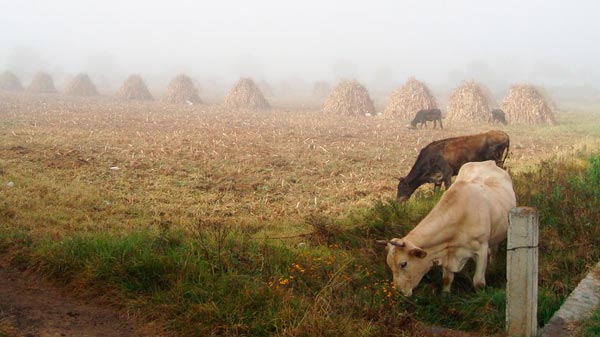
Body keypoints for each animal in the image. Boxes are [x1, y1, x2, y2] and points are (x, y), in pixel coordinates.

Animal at [380, 160, 516, 294]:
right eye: (390, 265)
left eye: (403, 264)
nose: (399, 291)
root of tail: (487, 162)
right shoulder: (447, 252)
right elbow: (446, 279)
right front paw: (446, 295)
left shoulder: (481, 250)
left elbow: (478, 282)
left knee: (493, 251)